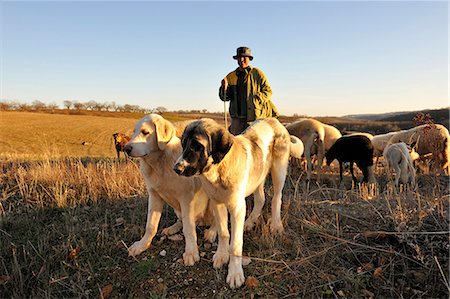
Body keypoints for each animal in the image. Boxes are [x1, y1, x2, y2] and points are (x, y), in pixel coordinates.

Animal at [172, 118, 302, 290]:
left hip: (278, 171)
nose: (176, 169)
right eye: (183, 143)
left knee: (276, 198)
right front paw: (221, 254)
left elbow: (235, 243)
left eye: (197, 146)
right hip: (258, 176)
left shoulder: (237, 208)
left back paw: (275, 225)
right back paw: (249, 222)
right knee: (260, 199)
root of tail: (273, 120)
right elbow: (223, 232)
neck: (219, 168)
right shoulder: (217, 203)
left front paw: (235, 273)